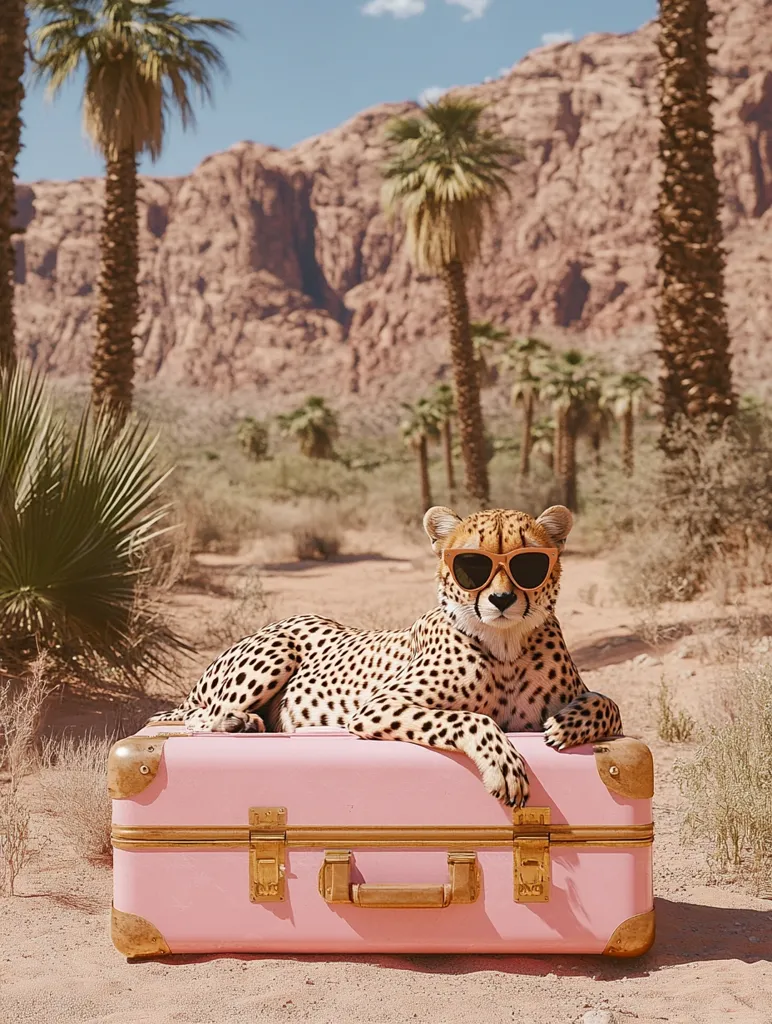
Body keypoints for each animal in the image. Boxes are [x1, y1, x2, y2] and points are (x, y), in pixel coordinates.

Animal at [148, 504, 622, 807]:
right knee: (193, 718)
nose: (502, 600)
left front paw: (569, 723)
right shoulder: (378, 705)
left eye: (528, 564)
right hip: (278, 648)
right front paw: (502, 762)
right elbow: (471, 718)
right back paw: (238, 721)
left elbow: (608, 704)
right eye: (472, 565)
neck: (504, 643)